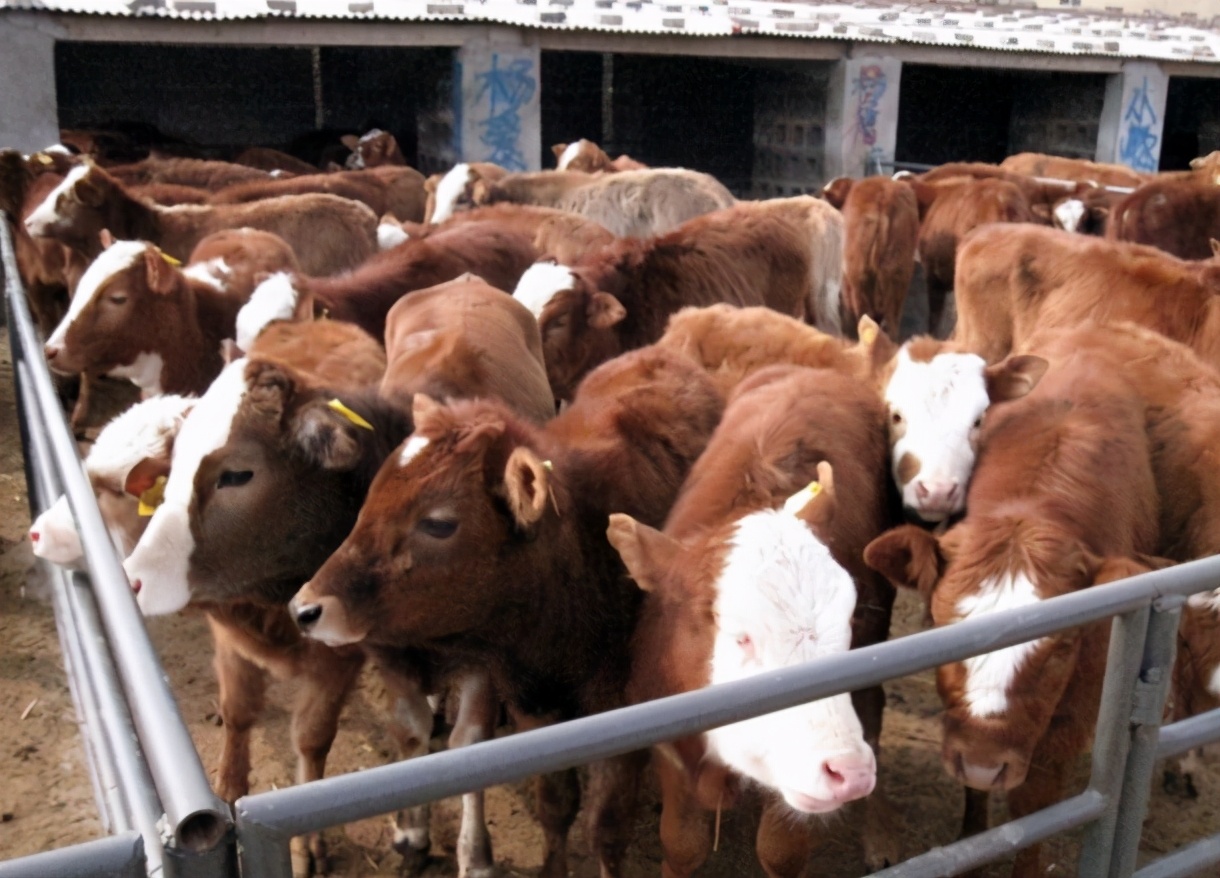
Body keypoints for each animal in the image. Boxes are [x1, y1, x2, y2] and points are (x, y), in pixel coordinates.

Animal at [290, 346, 725, 878]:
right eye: (371, 498)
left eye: (438, 523)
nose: (306, 607)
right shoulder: (532, 704)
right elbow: (555, 802)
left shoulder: (624, 712)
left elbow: (606, 825)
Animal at [609, 364, 900, 875]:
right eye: (740, 637)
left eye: (847, 621)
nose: (848, 771)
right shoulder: (670, 742)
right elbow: (681, 844)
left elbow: (781, 851)